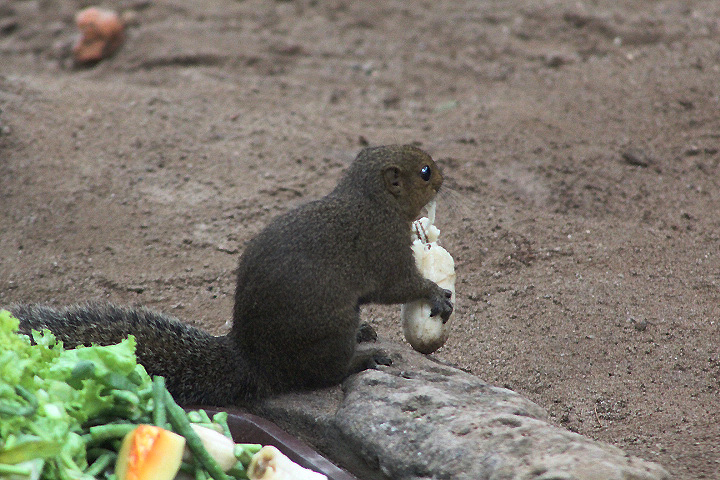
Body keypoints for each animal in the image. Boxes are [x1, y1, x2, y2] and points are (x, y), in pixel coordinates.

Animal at [11, 144, 453, 407]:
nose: (446, 176)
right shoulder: (383, 250)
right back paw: (364, 357)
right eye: (424, 171)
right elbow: (399, 285)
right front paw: (435, 293)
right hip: (327, 329)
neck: (371, 201)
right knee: (321, 373)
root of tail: (253, 363)